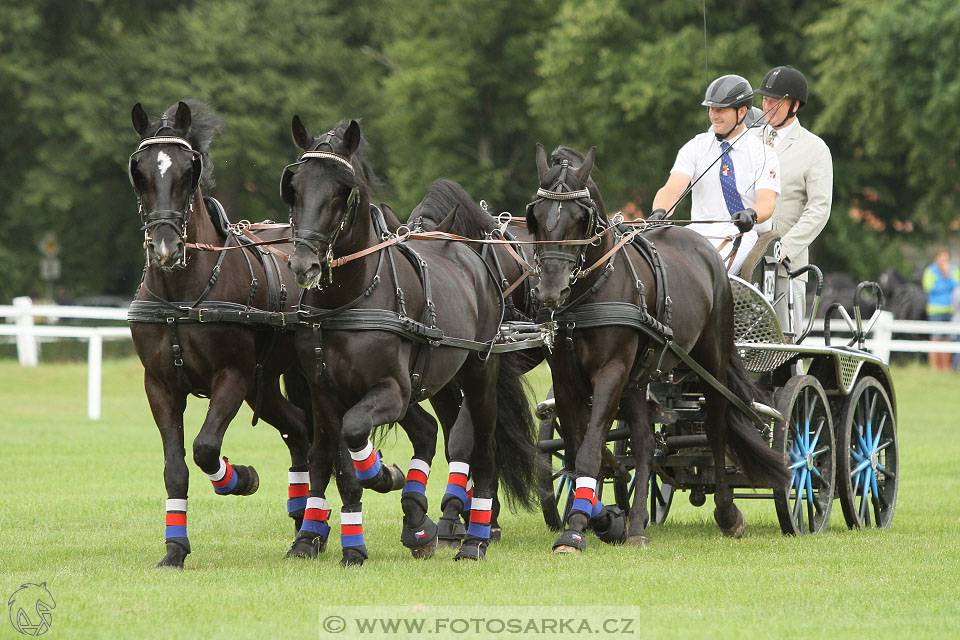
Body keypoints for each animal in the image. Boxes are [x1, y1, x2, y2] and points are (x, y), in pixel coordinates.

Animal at [284, 119, 540, 560]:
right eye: (295, 186)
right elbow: (332, 460)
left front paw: (384, 474)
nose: (304, 265)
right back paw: (423, 522)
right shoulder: (323, 391)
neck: (348, 300)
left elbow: (355, 432)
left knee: (483, 447)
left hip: (478, 372)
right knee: (428, 431)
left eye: (341, 190)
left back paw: (474, 536)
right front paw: (332, 540)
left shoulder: (393, 389)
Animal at [524, 144, 788, 552]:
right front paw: (604, 516)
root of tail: (707, 249)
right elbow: (578, 451)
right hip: (639, 377)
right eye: (535, 216)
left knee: (716, 429)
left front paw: (576, 529)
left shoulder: (611, 372)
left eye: (582, 218)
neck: (591, 291)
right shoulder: (567, 381)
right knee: (646, 442)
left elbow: (589, 450)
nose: (550, 291)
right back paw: (636, 526)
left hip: (709, 363)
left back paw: (727, 514)